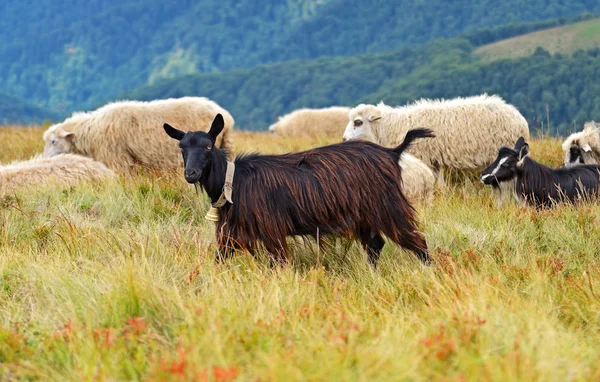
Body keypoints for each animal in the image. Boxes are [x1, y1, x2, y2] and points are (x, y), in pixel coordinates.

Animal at [164, 115, 436, 268]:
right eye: (181, 148)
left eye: (208, 146)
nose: (191, 174)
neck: (234, 180)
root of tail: (392, 152)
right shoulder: (232, 233)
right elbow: (218, 260)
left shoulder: (271, 230)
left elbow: (280, 263)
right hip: (365, 215)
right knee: (375, 244)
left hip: (388, 205)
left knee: (418, 242)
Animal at [342, 95, 528, 172]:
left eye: (358, 122)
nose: (344, 139)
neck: (391, 126)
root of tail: (519, 117)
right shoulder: (434, 161)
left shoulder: (423, 158)